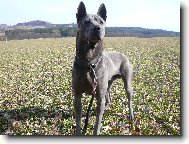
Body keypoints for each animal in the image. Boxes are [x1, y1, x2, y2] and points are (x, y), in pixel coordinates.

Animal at [71, 1, 134, 135]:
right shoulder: (77, 95)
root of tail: (123, 55)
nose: (97, 28)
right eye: (86, 21)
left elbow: (97, 123)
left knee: (129, 98)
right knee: (108, 94)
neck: (89, 63)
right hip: (108, 82)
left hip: (127, 82)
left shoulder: (99, 96)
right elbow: (78, 120)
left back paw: (131, 115)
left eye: (101, 22)